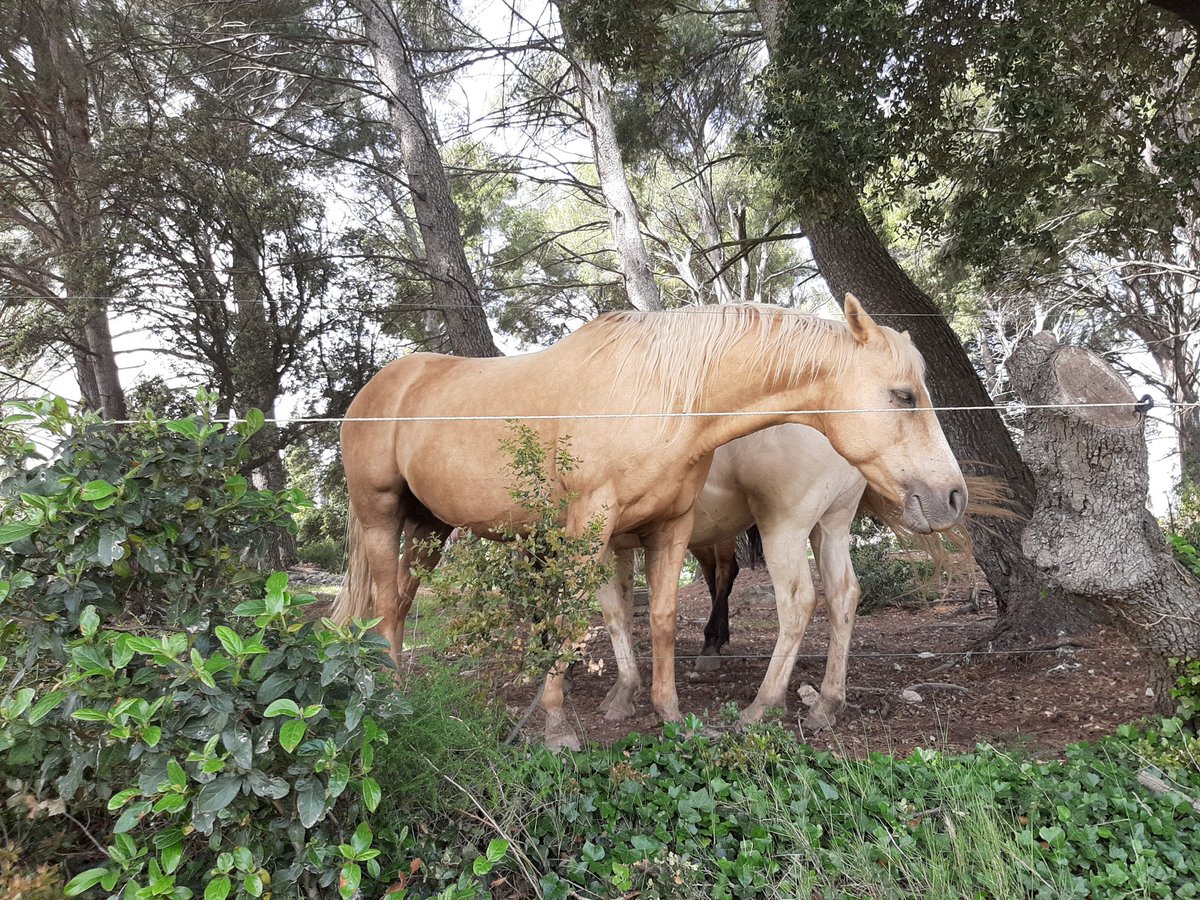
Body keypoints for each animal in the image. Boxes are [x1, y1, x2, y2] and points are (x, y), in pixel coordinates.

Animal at [333, 296, 967, 750]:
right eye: (903, 395)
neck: (661, 393)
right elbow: (584, 616)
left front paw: (668, 713)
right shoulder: (594, 527)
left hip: (430, 528)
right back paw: (392, 692)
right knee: (387, 602)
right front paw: (561, 725)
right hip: (384, 516)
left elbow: (656, 617)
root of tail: (380, 388)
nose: (952, 496)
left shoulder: (667, 526)